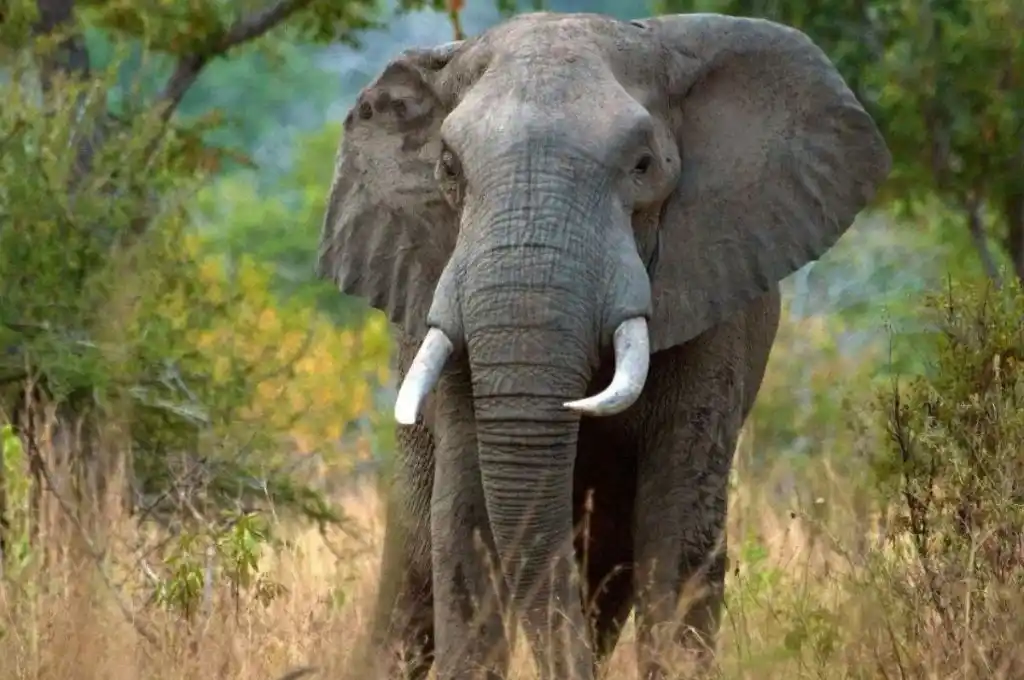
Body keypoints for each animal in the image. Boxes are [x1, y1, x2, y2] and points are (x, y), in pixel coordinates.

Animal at [316, 11, 890, 680]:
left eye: (642, 165)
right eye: (450, 168)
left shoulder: (713, 297)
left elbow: (678, 531)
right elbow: (464, 523)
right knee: (413, 579)